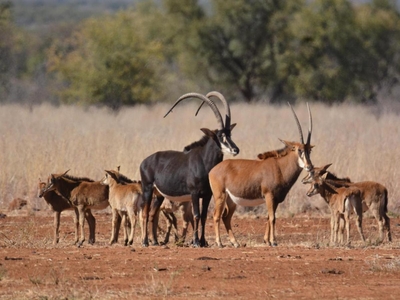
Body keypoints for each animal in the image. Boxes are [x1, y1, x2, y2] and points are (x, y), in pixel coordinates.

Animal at [139, 92, 239, 247]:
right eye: (220, 136)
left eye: (229, 134)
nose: (235, 149)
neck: (204, 161)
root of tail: (144, 161)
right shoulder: (194, 193)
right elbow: (196, 215)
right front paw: (196, 242)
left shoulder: (207, 194)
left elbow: (203, 216)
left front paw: (203, 242)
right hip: (147, 189)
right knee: (145, 213)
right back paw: (145, 242)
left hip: (159, 195)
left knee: (152, 214)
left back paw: (155, 241)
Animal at [208, 104, 314, 247]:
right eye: (299, 150)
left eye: (309, 151)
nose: (310, 167)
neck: (280, 167)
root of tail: (212, 170)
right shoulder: (269, 196)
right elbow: (273, 218)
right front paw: (273, 241)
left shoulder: (276, 199)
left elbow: (269, 217)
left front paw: (267, 240)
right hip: (220, 196)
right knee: (216, 216)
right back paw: (219, 242)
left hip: (231, 200)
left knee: (226, 217)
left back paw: (235, 242)